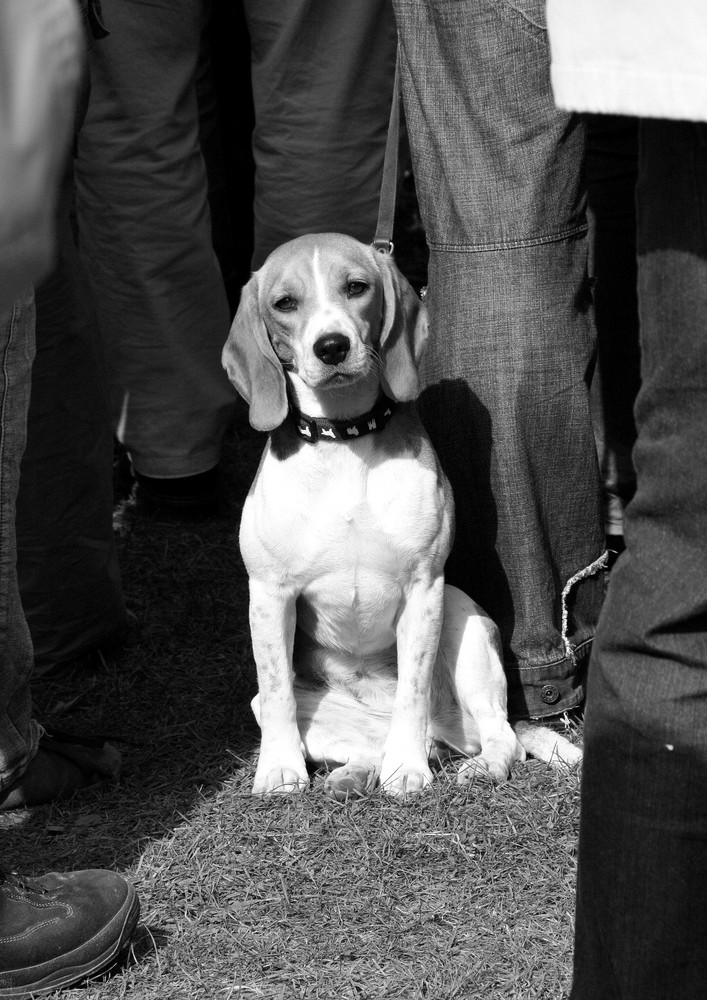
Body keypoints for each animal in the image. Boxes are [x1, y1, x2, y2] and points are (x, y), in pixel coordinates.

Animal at [224, 232, 584, 796]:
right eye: (284, 303)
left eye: (356, 288)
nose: (332, 346)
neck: (344, 437)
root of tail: (451, 733)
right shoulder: (268, 594)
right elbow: (278, 688)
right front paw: (278, 769)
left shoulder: (424, 586)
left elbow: (411, 692)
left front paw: (407, 769)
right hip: (291, 705)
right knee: (355, 736)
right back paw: (354, 774)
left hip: (463, 618)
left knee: (501, 735)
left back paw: (471, 763)